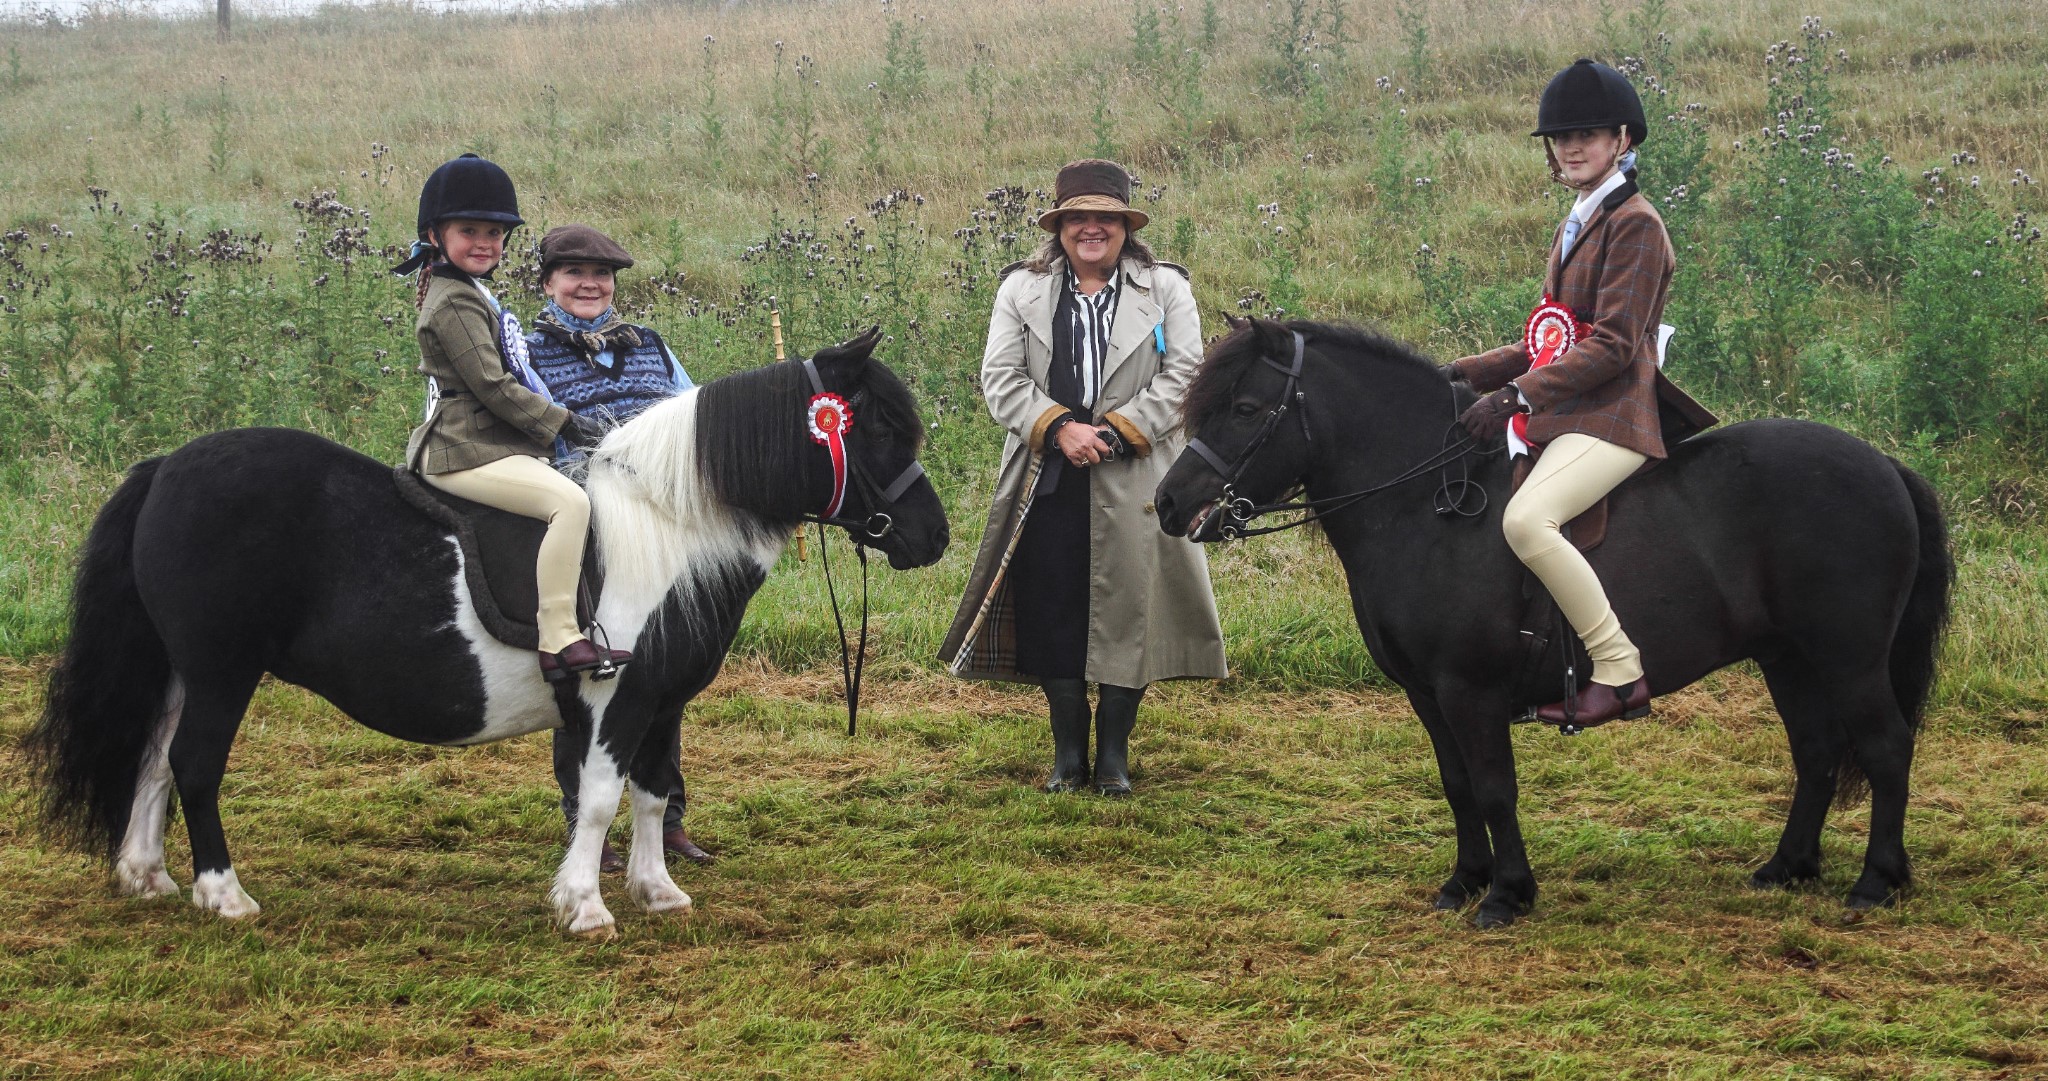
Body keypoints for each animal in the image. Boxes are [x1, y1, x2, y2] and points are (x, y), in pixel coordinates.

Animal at [28, 331, 946, 937]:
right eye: (875, 427)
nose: (932, 537)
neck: (668, 530)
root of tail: (165, 468)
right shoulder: (615, 699)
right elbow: (601, 795)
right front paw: (585, 905)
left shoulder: (663, 701)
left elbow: (652, 793)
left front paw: (657, 892)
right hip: (222, 669)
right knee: (193, 764)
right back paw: (223, 894)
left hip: (183, 668)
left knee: (152, 758)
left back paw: (145, 875)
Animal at [1155, 317, 1949, 925]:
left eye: (1247, 408)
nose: (1168, 502)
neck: (1425, 502)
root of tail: (1886, 466)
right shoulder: (1427, 693)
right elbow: (1456, 783)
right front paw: (1464, 880)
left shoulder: (1469, 689)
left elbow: (1494, 785)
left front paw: (1507, 893)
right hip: (1788, 659)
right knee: (1816, 751)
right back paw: (1787, 866)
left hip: (1849, 658)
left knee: (1886, 748)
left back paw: (1876, 881)